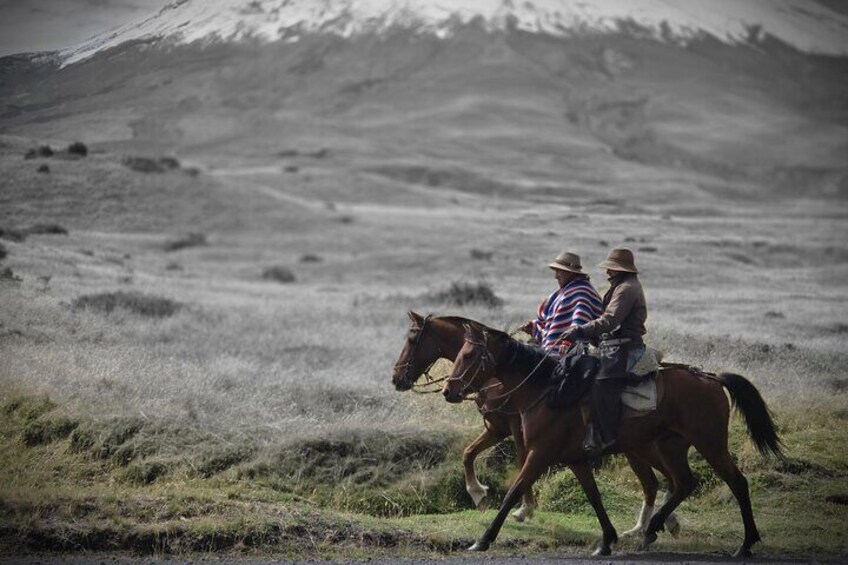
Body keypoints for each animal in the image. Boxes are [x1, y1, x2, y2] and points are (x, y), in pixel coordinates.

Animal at [390, 312, 684, 536]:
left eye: (412, 339)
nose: (396, 379)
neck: (498, 377)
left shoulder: (514, 427)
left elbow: (521, 460)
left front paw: (524, 508)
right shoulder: (497, 428)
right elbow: (468, 453)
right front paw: (478, 493)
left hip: (639, 447)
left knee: (660, 480)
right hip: (638, 446)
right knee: (660, 480)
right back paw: (659, 522)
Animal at [444, 322, 780, 556]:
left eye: (469, 355)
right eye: (459, 353)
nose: (449, 391)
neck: (547, 390)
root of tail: (710, 378)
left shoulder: (539, 454)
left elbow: (514, 491)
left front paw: (483, 539)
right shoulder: (575, 460)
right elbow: (594, 496)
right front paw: (606, 541)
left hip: (709, 444)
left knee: (736, 483)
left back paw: (745, 544)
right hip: (670, 446)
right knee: (683, 482)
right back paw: (652, 529)